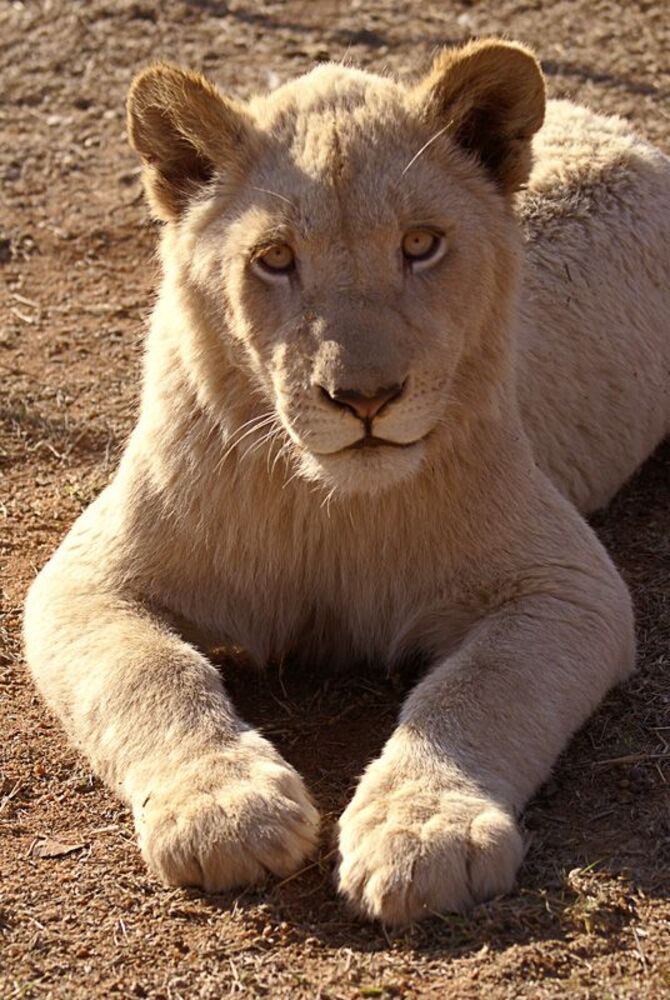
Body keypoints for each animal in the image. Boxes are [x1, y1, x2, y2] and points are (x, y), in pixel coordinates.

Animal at [23, 39, 670, 925]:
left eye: (421, 244)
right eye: (274, 260)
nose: (364, 397)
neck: (328, 504)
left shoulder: (566, 584)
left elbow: (479, 689)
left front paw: (425, 831)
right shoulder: (85, 579)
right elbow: (149, 673)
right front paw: (224, 808)